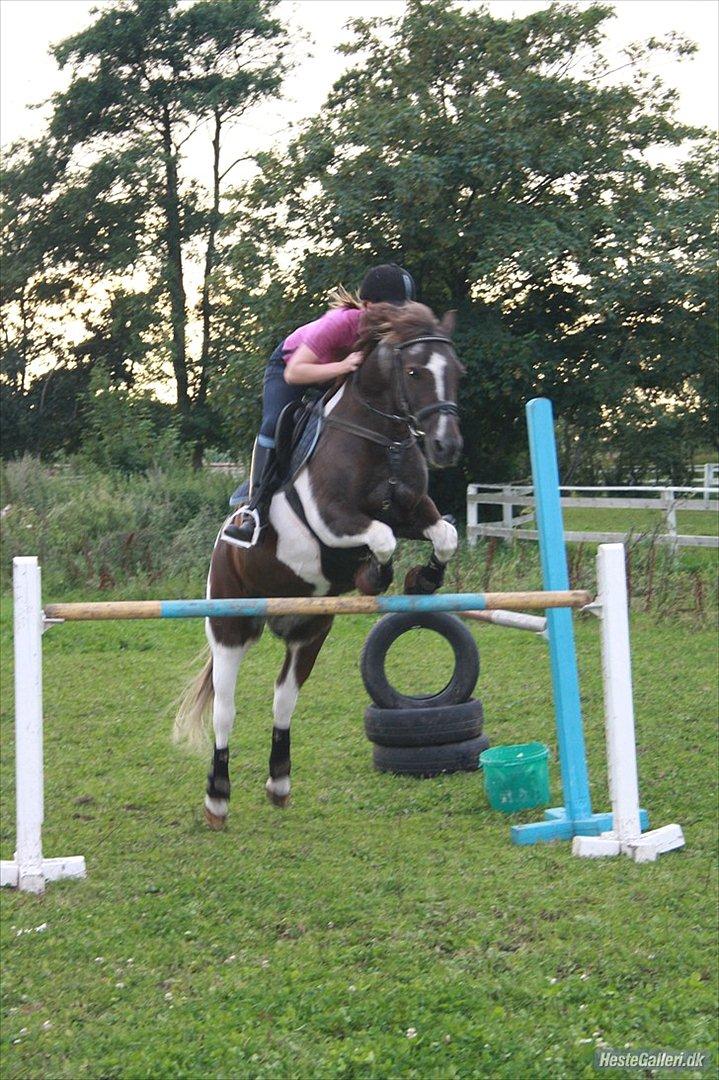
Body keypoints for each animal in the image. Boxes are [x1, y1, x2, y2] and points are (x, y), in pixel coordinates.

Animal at [174, 301, 465, 828]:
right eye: (415, 371)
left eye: (457, 372)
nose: (446, 447)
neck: (382, 438)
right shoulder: (331, 521)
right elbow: (381, 537)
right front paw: (375, 575)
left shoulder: (414, 510)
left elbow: (444, 535)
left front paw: (423, 578)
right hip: (229, 623)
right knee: (225, 709)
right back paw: (217, 798)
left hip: (310, 630)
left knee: (283, 698)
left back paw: (279, 782)